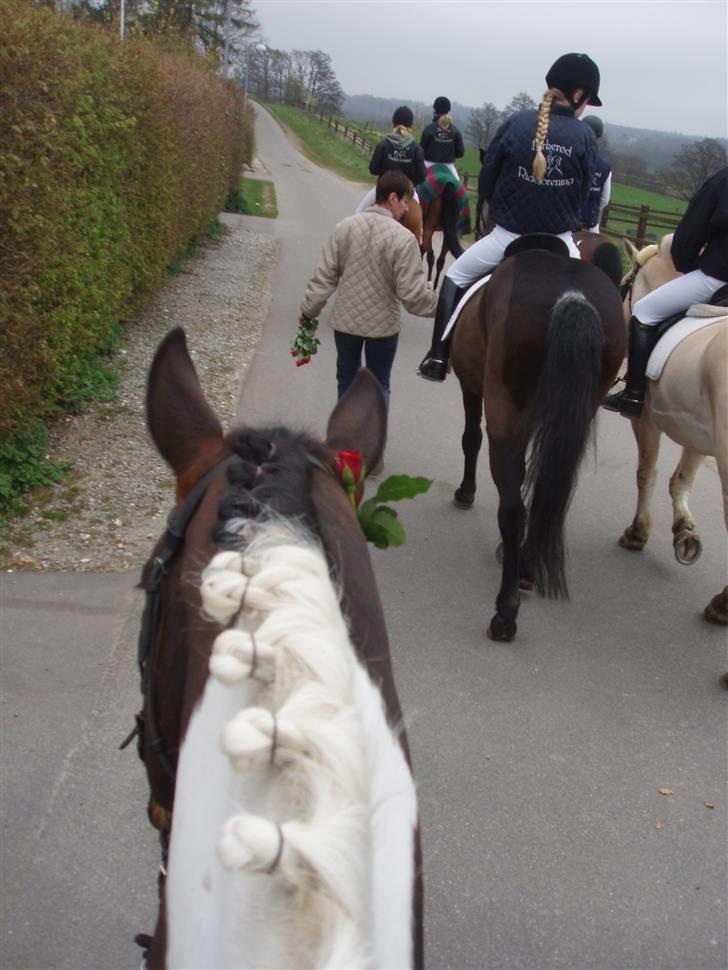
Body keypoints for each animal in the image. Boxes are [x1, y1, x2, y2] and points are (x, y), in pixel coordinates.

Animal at [446, 238, 624, 640]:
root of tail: (573, 297)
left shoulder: (472, 389)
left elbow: (470, 439)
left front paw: (465, 492)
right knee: (547, 492)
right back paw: (527, 570)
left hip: (503, 409)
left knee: (513, 510)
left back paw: (505, 612)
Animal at [616, 238, 728, 624]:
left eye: (626, 285)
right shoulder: (698, 434)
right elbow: (679, 481)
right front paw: (685, 532)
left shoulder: (645, 420)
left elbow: (645, 473)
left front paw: (637, 532)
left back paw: (720, 605)